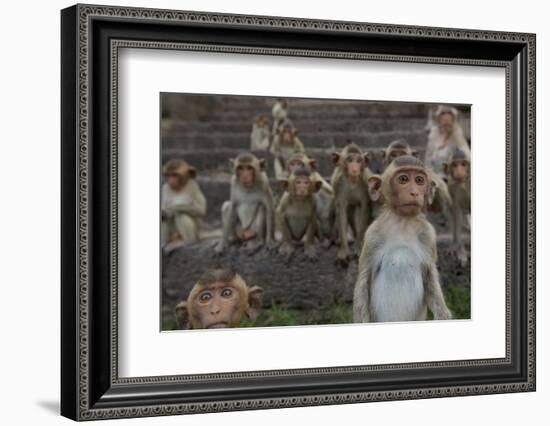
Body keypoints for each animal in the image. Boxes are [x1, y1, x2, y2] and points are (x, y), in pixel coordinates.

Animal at [356, 156, 454, 322]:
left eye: (419, 180)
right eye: (403, 179)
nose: (414, 192)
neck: (403, 222)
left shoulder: (428, 235)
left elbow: (430, 278)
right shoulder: (372, 235)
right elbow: (363, 281)